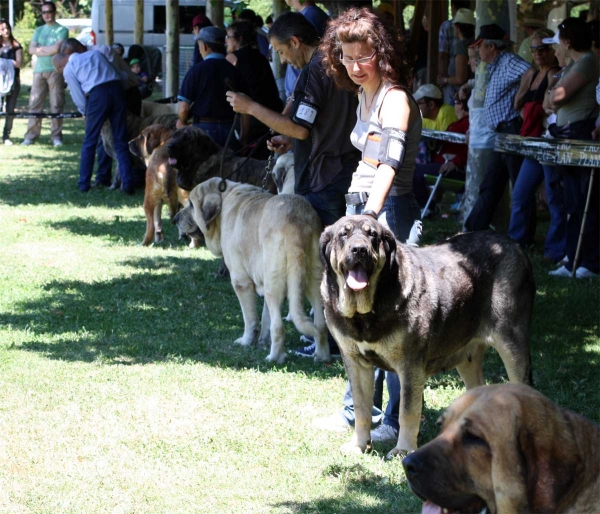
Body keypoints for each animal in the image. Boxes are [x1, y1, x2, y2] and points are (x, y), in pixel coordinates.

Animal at [318, 214, 536, 458]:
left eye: (372, 235)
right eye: (343, 234)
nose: (359, 249)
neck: (364, 313)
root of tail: (514, 246)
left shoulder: (409, 366)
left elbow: (407, 411)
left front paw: (403, 449)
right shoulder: (356, 364)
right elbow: (361, 408)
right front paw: (359, 445)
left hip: (511, 343)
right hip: (466, 357)